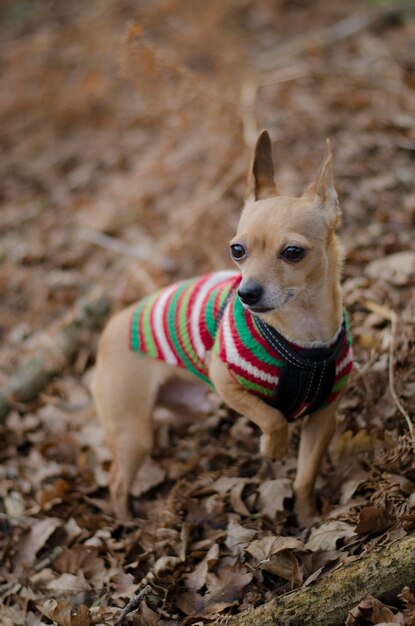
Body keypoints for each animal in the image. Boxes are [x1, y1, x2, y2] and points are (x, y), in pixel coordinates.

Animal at [92, 132, 354, 528]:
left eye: (293, 252)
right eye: (237, 250)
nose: (246, 293)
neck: (304, 338)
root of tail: (109, 328)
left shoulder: (323, 420)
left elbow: (305, 477)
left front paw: (308, 520)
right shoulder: (226, 382)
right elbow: (272, 417)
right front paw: (273, 447)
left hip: (181, 409)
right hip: (132, 434)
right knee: (117, 481)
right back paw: (125, 524)